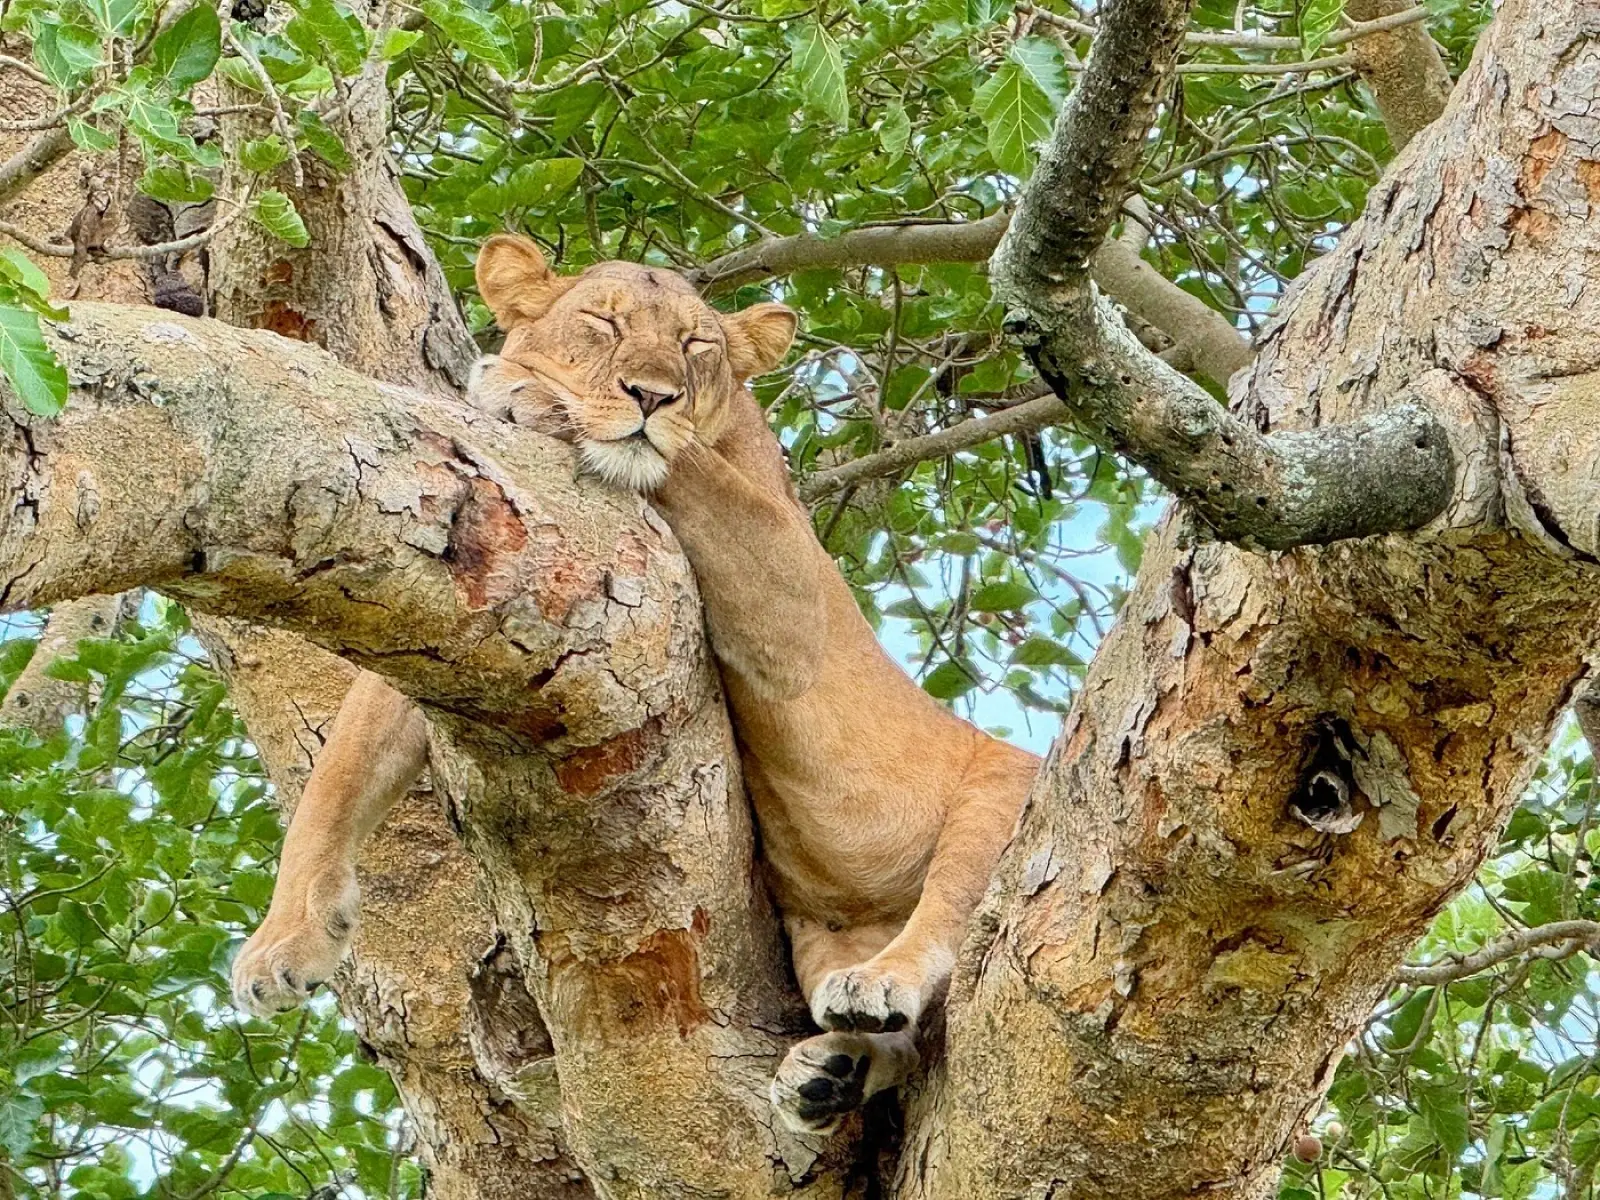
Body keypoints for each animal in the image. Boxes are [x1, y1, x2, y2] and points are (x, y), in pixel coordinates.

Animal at [230, 235, 1040, 1134]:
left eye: (697, 345)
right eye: (604, 322)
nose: (651, 394)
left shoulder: (799, 601)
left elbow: (678, 454)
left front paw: (524, 387)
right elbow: (339, 776)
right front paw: (285, 941)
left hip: (998, 797)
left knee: (950, 920)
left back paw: (876, 990)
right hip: (818, 928)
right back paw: (830, 1072)